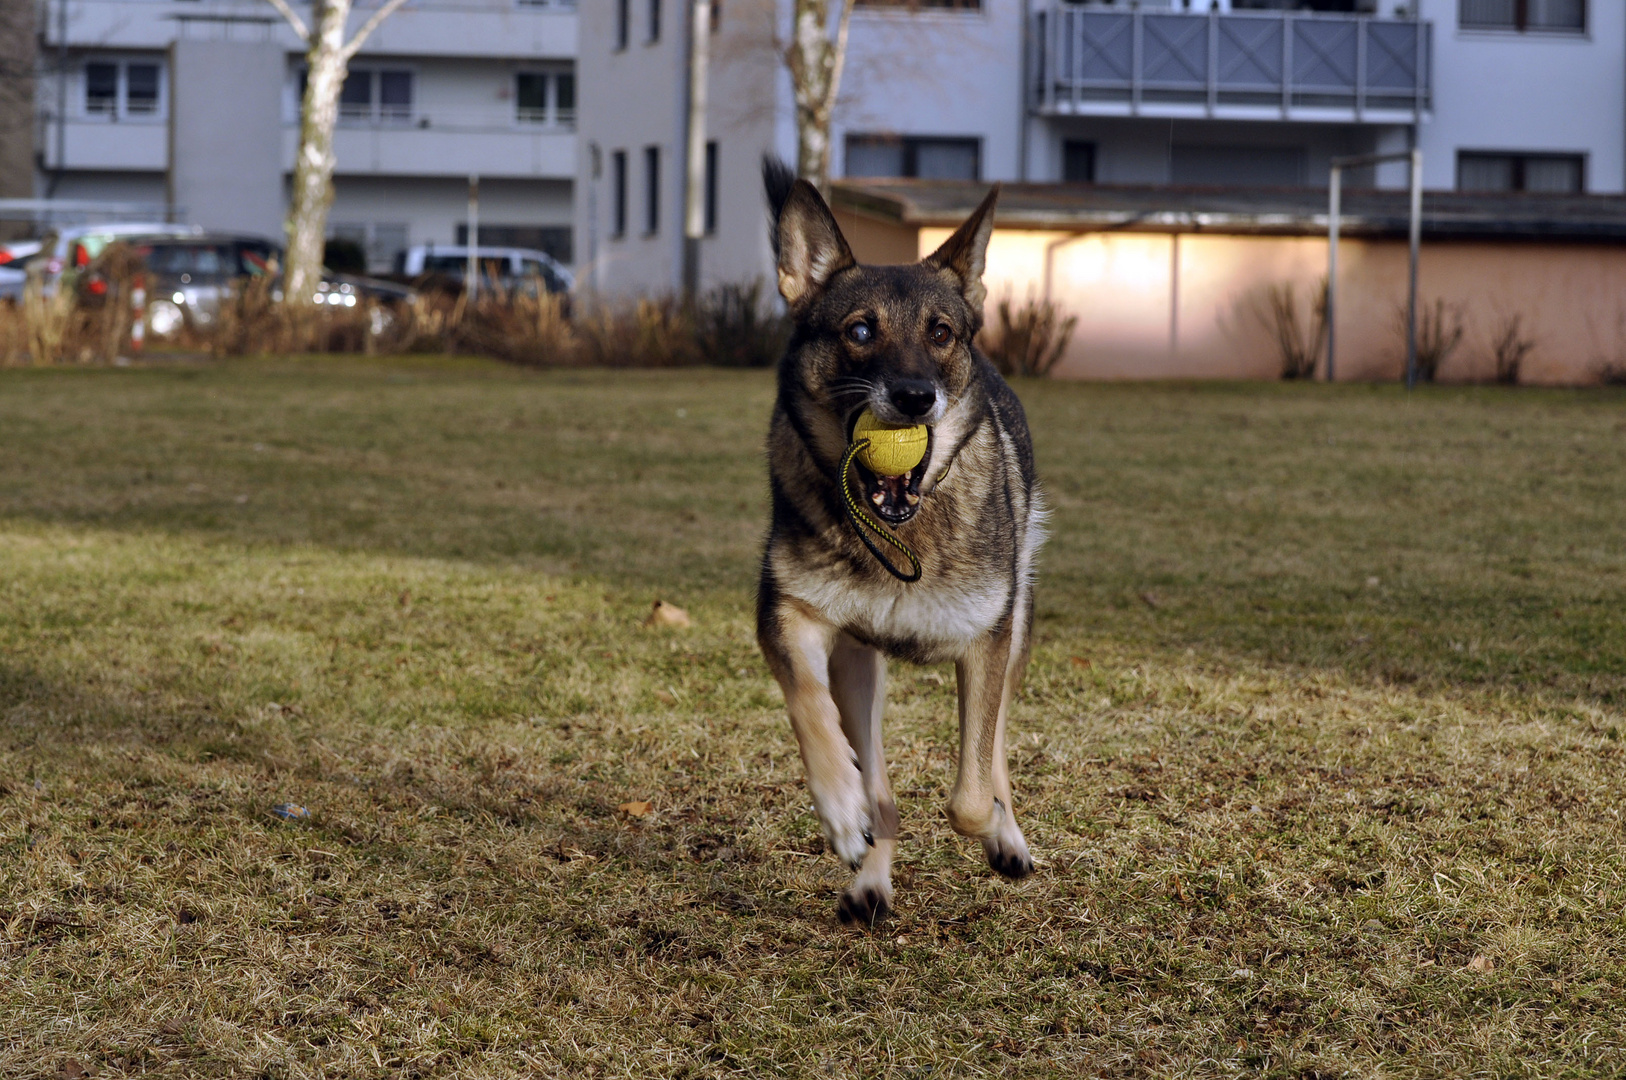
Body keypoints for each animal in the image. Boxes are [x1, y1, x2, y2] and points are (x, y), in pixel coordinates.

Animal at [754, 162, 1047, 930]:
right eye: (860, 329)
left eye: (941, 333)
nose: (916, 397)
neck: (898, 527)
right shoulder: (790, 618)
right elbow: (811, 712)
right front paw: (841, 810)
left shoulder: (986, 642)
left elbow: (972, 791)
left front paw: (994, 828)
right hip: (860, 668)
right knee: (878, 782)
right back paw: (869, 867)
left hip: (1017, 624)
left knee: (994, 749)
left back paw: (1008, 837)